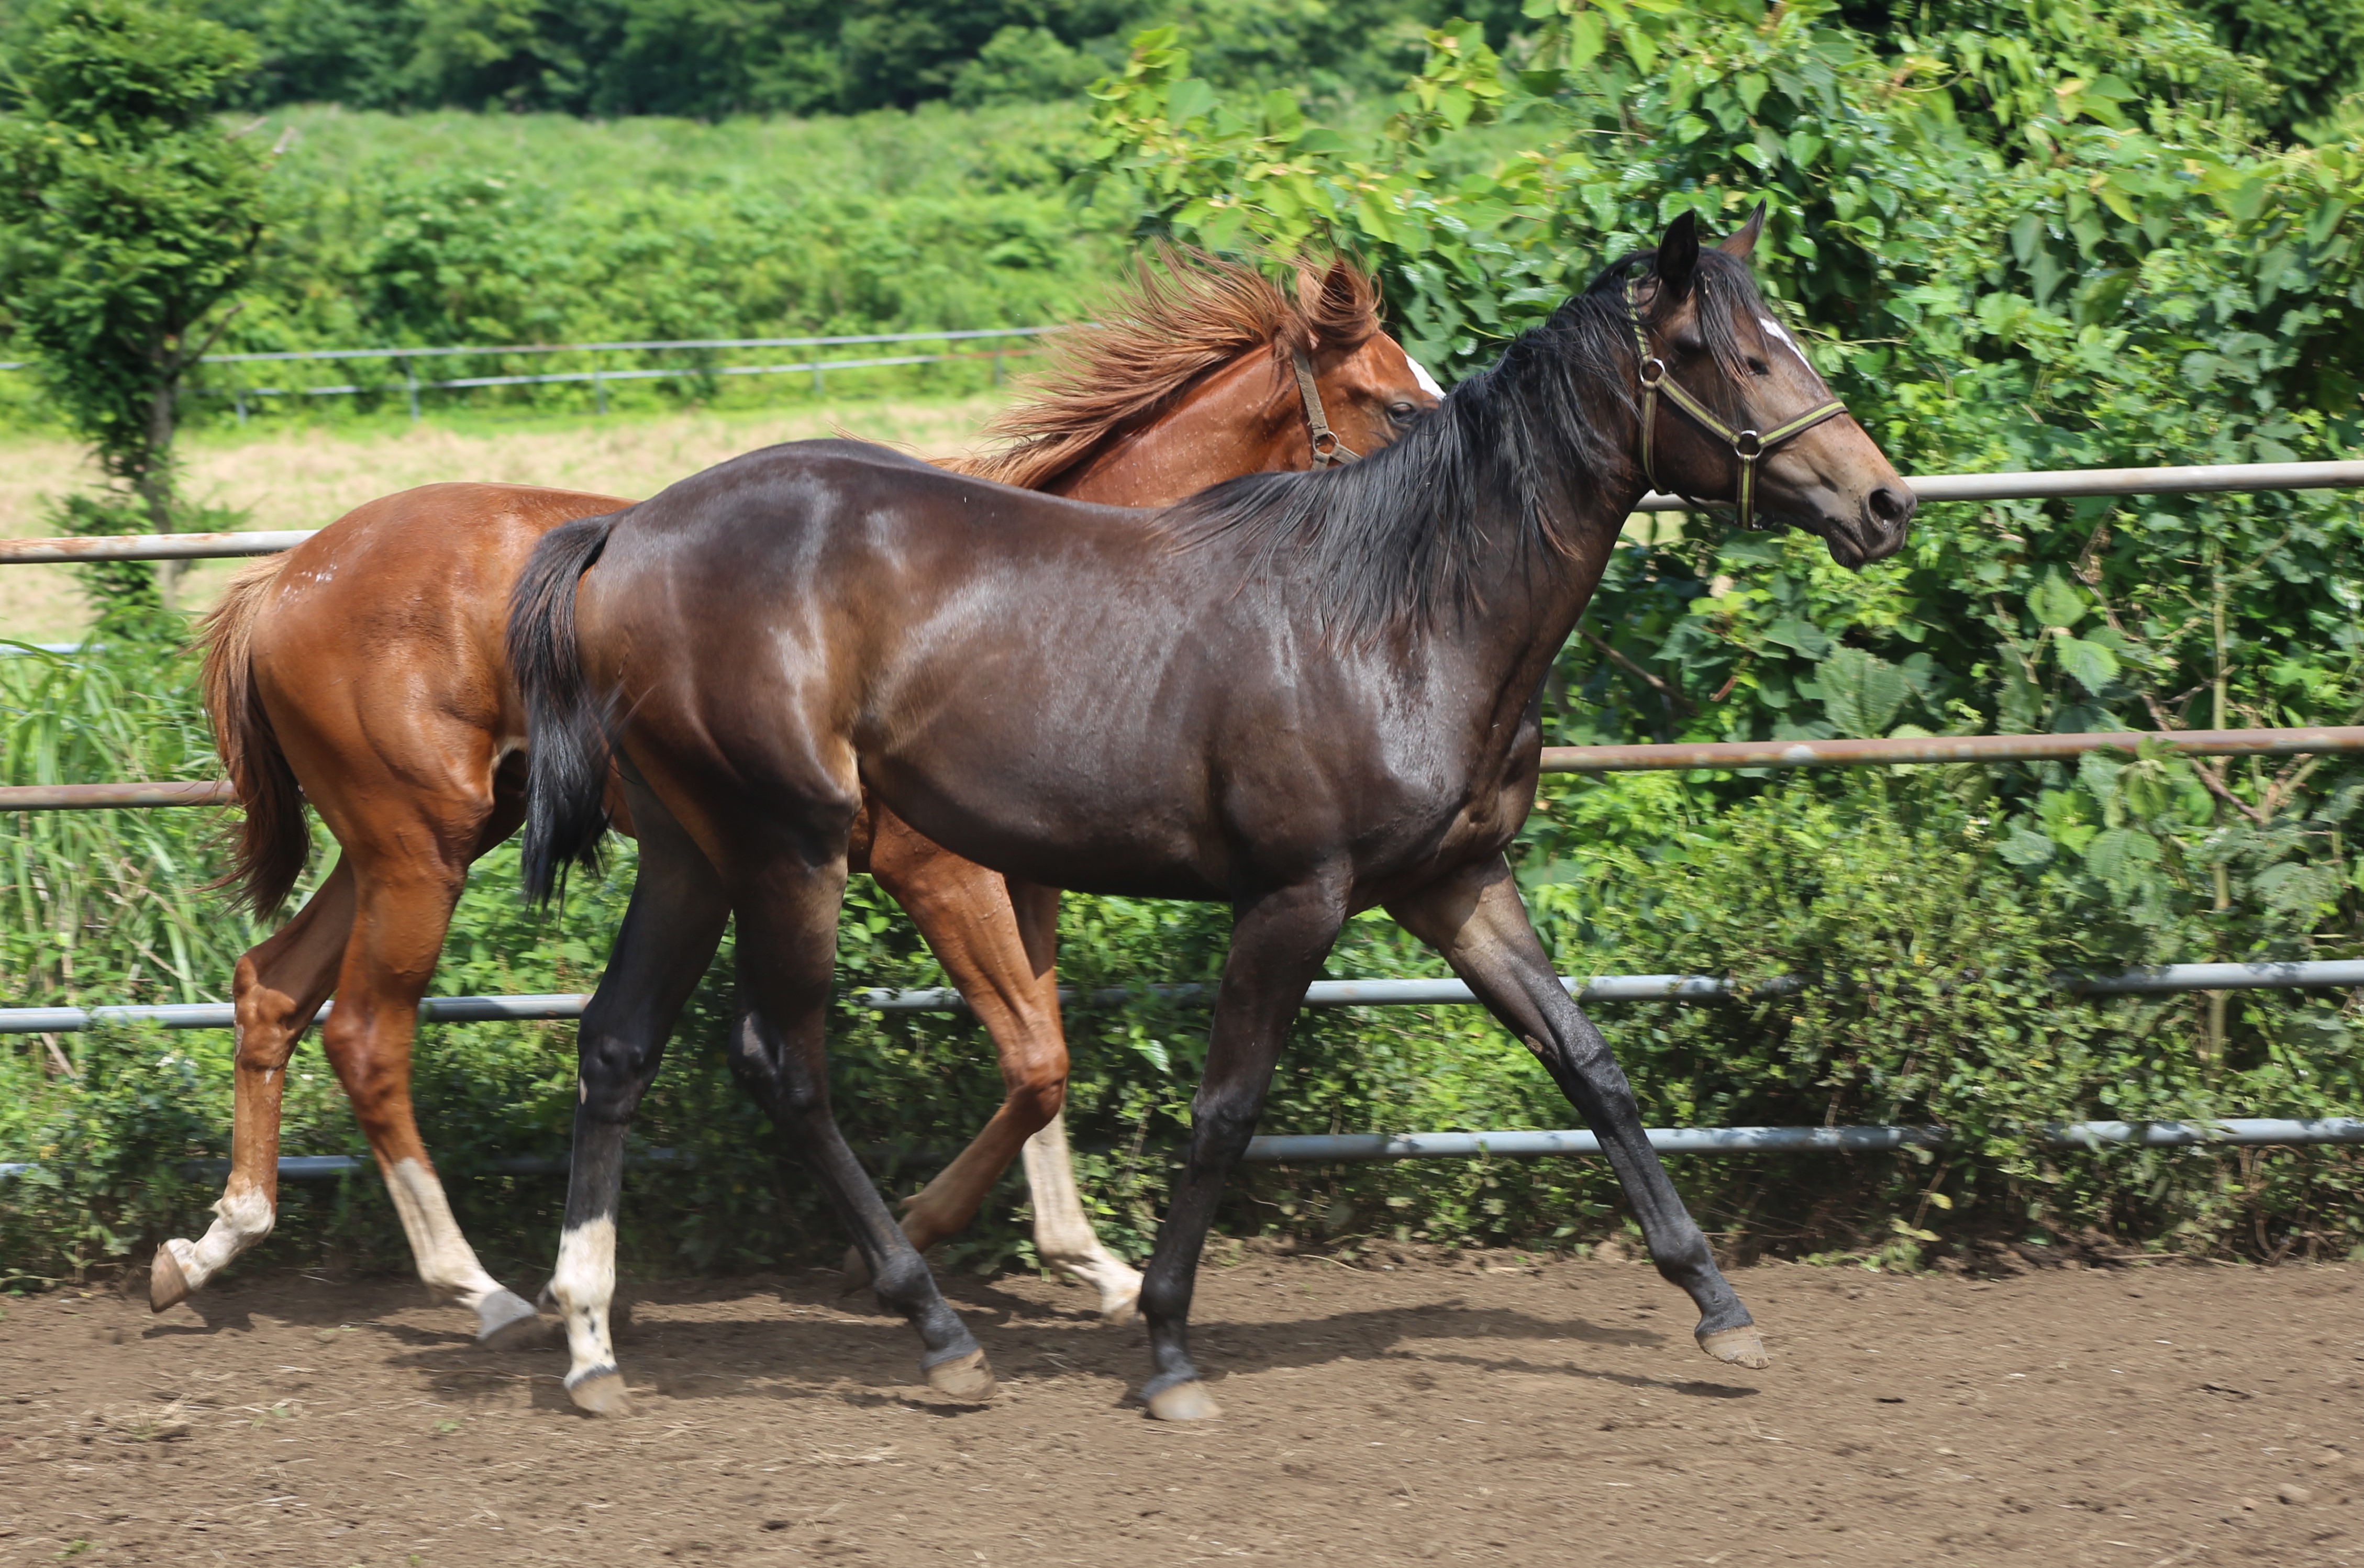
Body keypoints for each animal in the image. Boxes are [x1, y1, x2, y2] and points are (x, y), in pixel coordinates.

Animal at [162, 254, 1437, 1333]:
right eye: (1397, 402)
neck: (1046, 596)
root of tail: (286, 577)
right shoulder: (940, 873)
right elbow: (1035, 1062)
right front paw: (920, 1239)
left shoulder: (1025, 884)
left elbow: (1044, 1060)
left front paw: (1090, 1262)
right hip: (418, 851)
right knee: (366, 1035)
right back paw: (480, 1288)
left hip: (413, 844)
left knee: (271, 992)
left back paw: (210, 1247)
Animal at [513, 202, 1919, 1419]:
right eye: (1726, 353)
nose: (1885, 503)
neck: (1401, 614)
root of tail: (624, 533)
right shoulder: (1294, 898)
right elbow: (1223, 1111)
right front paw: (1168, 1343)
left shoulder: (1458, 884)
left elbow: (1591, 1064)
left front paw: (1718, 1304)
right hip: (790, 847)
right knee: (781, 1062)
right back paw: (933, 1325)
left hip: (696, 852)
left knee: (618, 1043)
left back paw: (588, 1342)